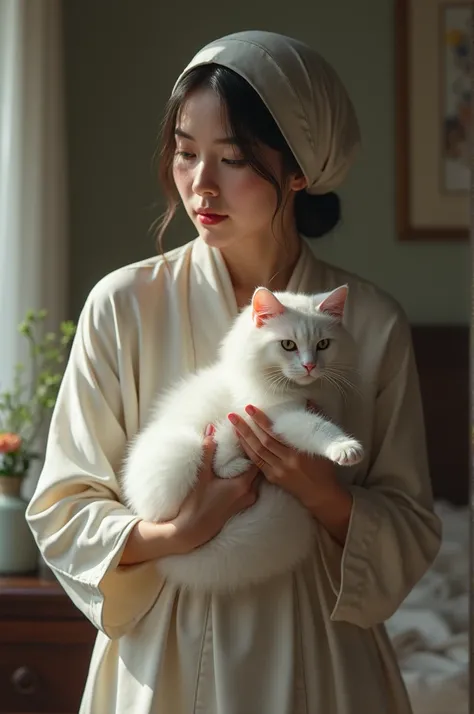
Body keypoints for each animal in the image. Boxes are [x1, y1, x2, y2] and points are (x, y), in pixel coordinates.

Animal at [121, 284, 362, 588]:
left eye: (323, 345)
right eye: (288, 345)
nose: (310, 366)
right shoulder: (279, 417)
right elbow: (317, 429)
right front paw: (346, 448)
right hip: (185, 449)